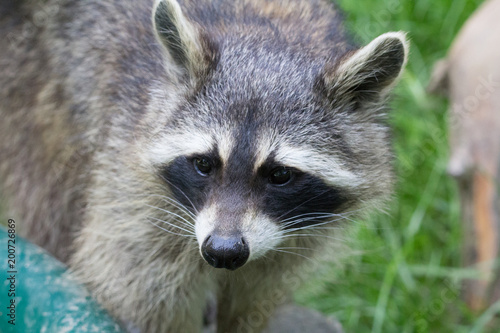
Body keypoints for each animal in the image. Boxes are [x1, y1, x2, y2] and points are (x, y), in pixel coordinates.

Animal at [0, 0, 406, 330]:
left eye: (280, 175)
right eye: (204, 164)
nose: (223, 251)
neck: (271, 37)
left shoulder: (295, 236)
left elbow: (252, 302)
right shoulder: (130, 187)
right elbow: (141, 291)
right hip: (38, 102)